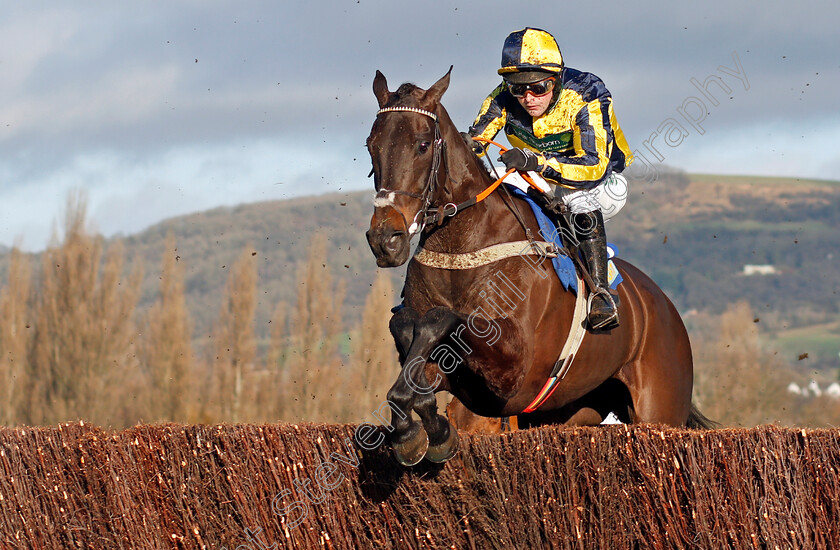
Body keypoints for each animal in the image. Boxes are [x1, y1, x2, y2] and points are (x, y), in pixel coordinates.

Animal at [364, 67, 712, 468]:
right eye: (371, 145)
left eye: (422, 145)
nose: (385, 239)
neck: (461, 248)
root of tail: (665, 306)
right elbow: (406, 329)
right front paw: (415, 428)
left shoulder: (512, 374)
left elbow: (442, 318)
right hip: (571, 410)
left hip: (660, 409)